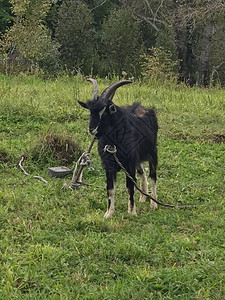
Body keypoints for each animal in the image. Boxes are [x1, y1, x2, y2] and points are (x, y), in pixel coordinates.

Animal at [78, 78, 159, 218]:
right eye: (90, 111)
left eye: (104, 112)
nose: (92, 129)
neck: (114, 142)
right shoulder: (109, 166)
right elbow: (110, 189)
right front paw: (108, 213)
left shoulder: (129, 164)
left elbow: (130, 186)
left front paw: (132, 211)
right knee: (142, 172)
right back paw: (143, 197)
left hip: (152, 152)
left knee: (153, 176)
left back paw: (153, 203)